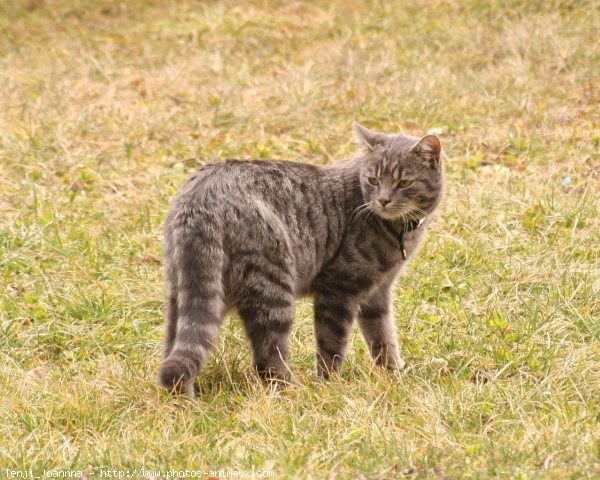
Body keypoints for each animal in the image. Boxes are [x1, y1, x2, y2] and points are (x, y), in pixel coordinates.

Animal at [157, 124, 442, 398]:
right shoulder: (338, 288)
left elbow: (383, 337)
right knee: (268, 359)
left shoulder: (378, 293)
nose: (382, 200)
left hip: (186, 293)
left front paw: (393, 375)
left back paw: (181, 399)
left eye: (404, 183)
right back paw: (293, 391)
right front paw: (330, 384)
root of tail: (203, 196)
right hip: (273, 288)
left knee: (175, 352)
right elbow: (332, 345)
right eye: (373, 180)